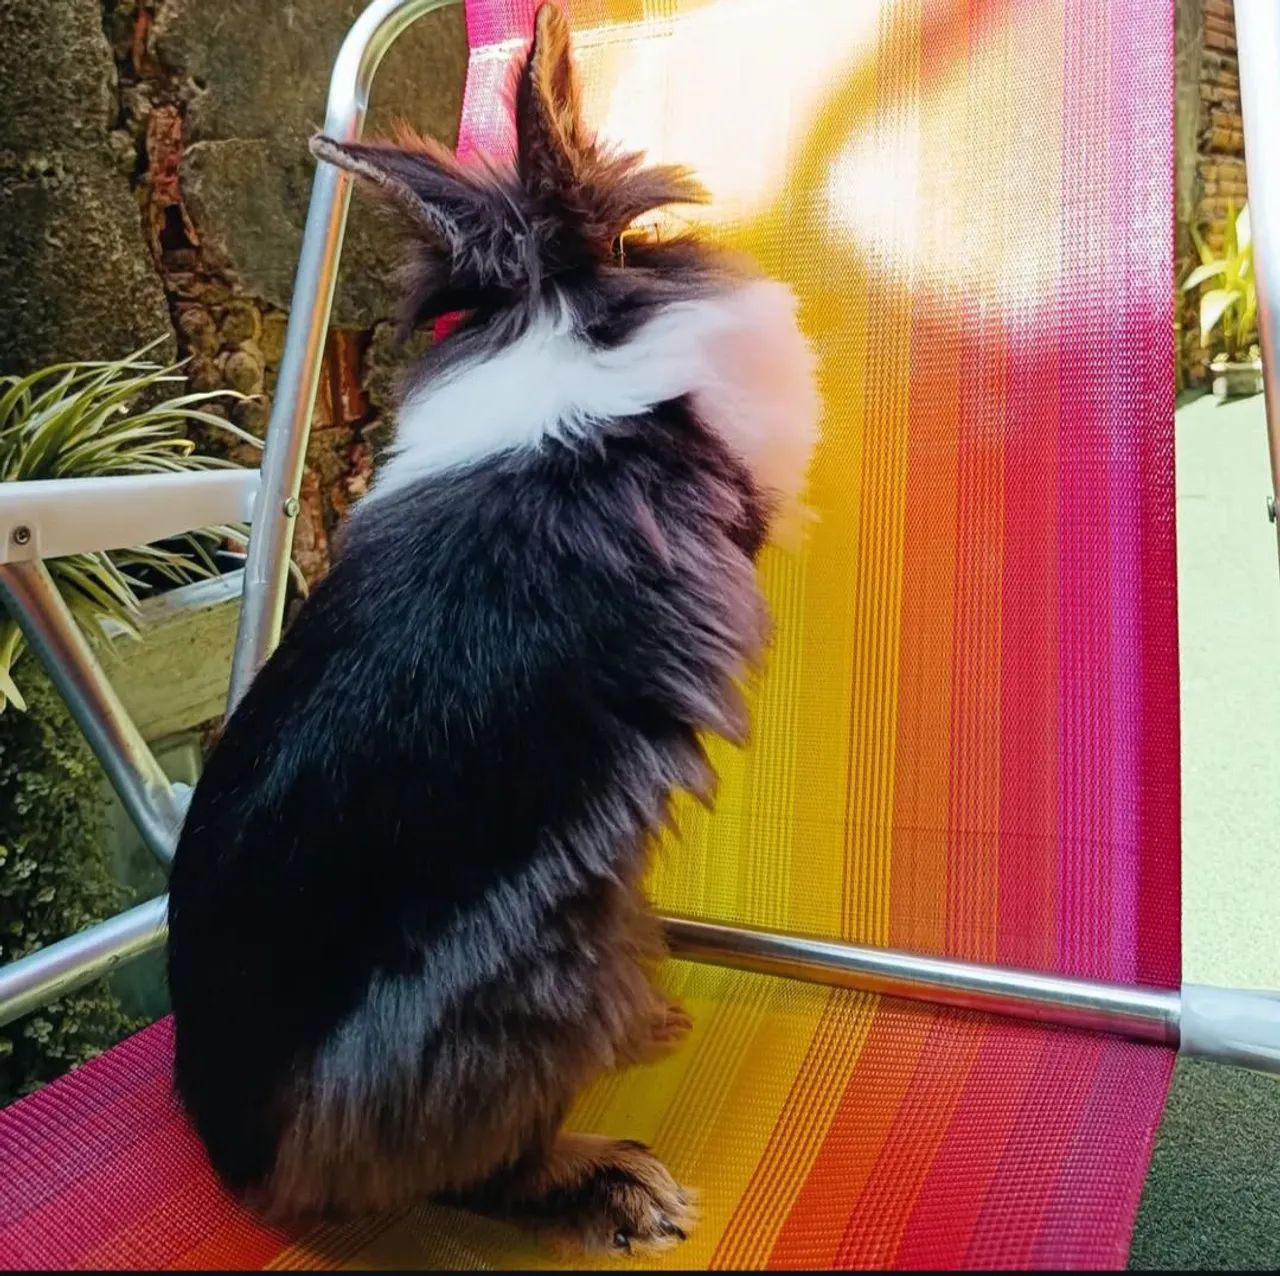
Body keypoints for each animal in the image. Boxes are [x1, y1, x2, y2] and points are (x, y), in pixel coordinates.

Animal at [166, 1, 819, 1258]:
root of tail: (236, 1158)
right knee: (488, 1168)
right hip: (538, 973)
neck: (559, 321)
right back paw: (615, 1178)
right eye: (642, 231)